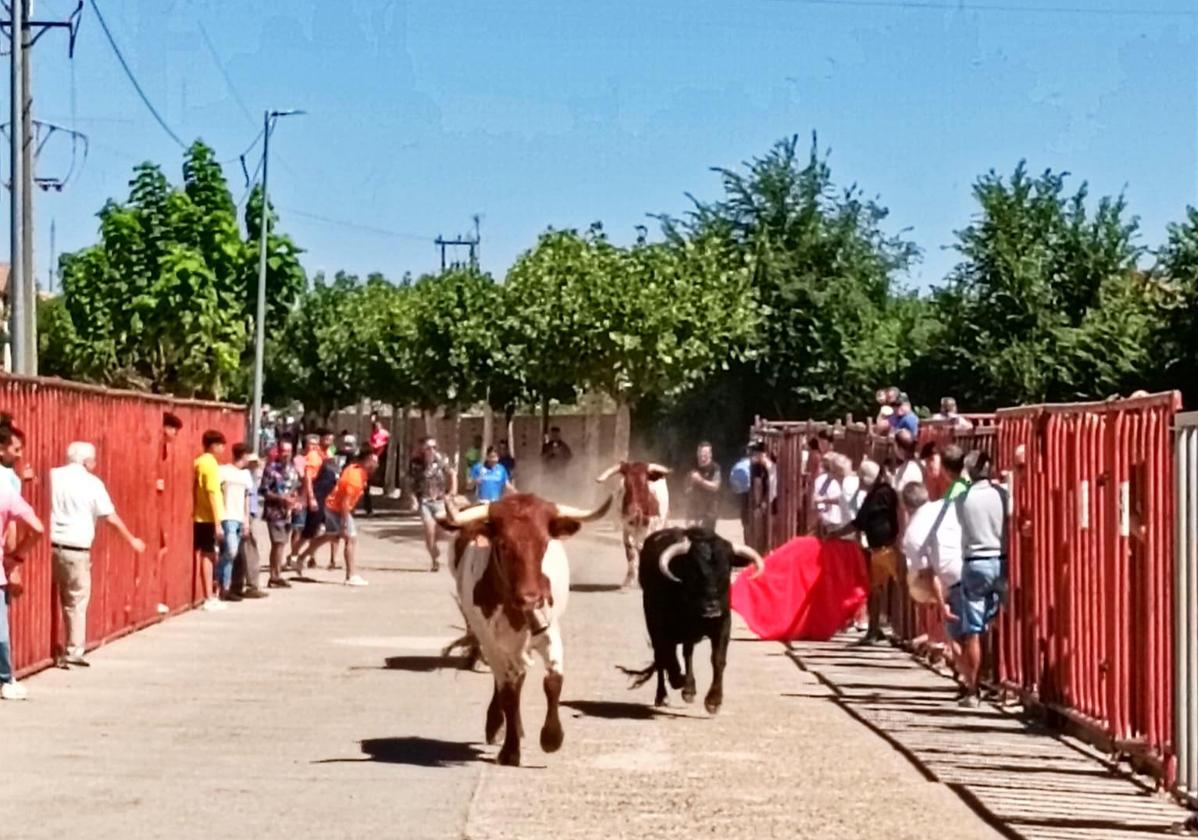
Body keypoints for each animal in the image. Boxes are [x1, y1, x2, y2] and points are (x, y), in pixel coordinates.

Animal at [440, 491, 613, 766]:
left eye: (544, 544)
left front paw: (552, 737)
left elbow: (553, 681)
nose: (531, 598)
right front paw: (510, 749)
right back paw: (498, 725)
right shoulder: (492, 644)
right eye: (502, 545)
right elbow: (509, 693)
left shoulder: (549, 632)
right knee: (508, 682)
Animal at [622, 527, 761, 709]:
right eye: (696, 571)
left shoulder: (723, 624)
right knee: (661, 656)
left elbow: (717, 658)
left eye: (726, 570)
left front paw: (714, 700)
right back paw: (663, 695)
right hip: (653, 624)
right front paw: (684, 686)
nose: (712, 609)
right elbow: (676, 654)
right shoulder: (673, 627)